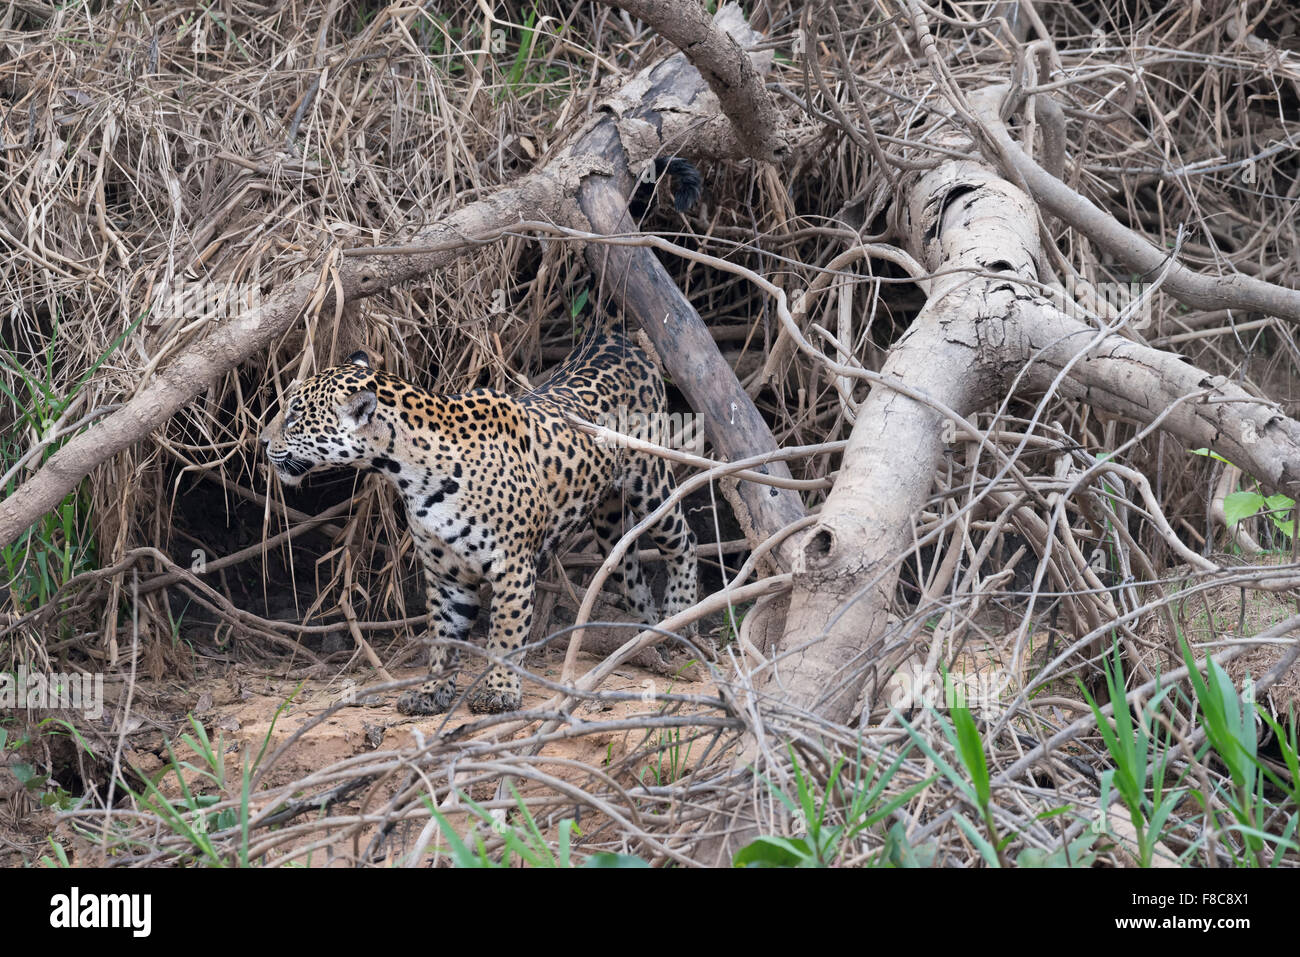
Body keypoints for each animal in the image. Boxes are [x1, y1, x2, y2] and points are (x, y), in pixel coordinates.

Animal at [260, 325, 698, 715]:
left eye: (294, 416)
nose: (261, 442)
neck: (409, 473)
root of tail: (617, 336)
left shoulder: (513, 566)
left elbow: (504, 636)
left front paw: (499, 693)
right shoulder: (445, 575)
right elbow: (443, 638)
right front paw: (432, 693)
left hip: (651, 479)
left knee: (683, 538)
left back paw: (681, 616)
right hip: (608, 522)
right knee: (628, 566)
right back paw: (646, 635)